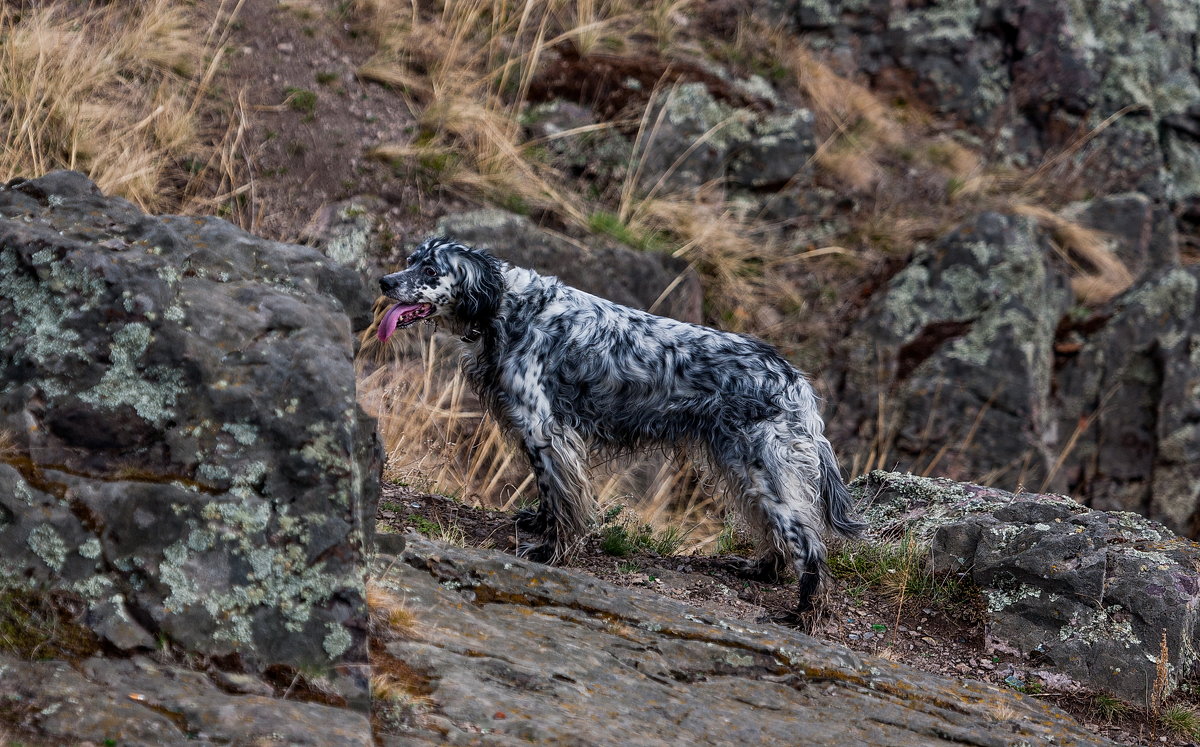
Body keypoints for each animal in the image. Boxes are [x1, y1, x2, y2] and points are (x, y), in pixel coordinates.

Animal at [376, 236, 864, 612]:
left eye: (430, 268)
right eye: (410, 260)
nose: (384, 281)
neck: (506, 306)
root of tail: (796, 380)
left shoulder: (545, 430)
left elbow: (562, 498)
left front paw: (550, 551)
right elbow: (549, 495)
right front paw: (537, 524)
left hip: (764, 467)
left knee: (808, 542)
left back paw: (804, 612)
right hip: (743, 467)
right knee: (778, 530)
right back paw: (761, 570)